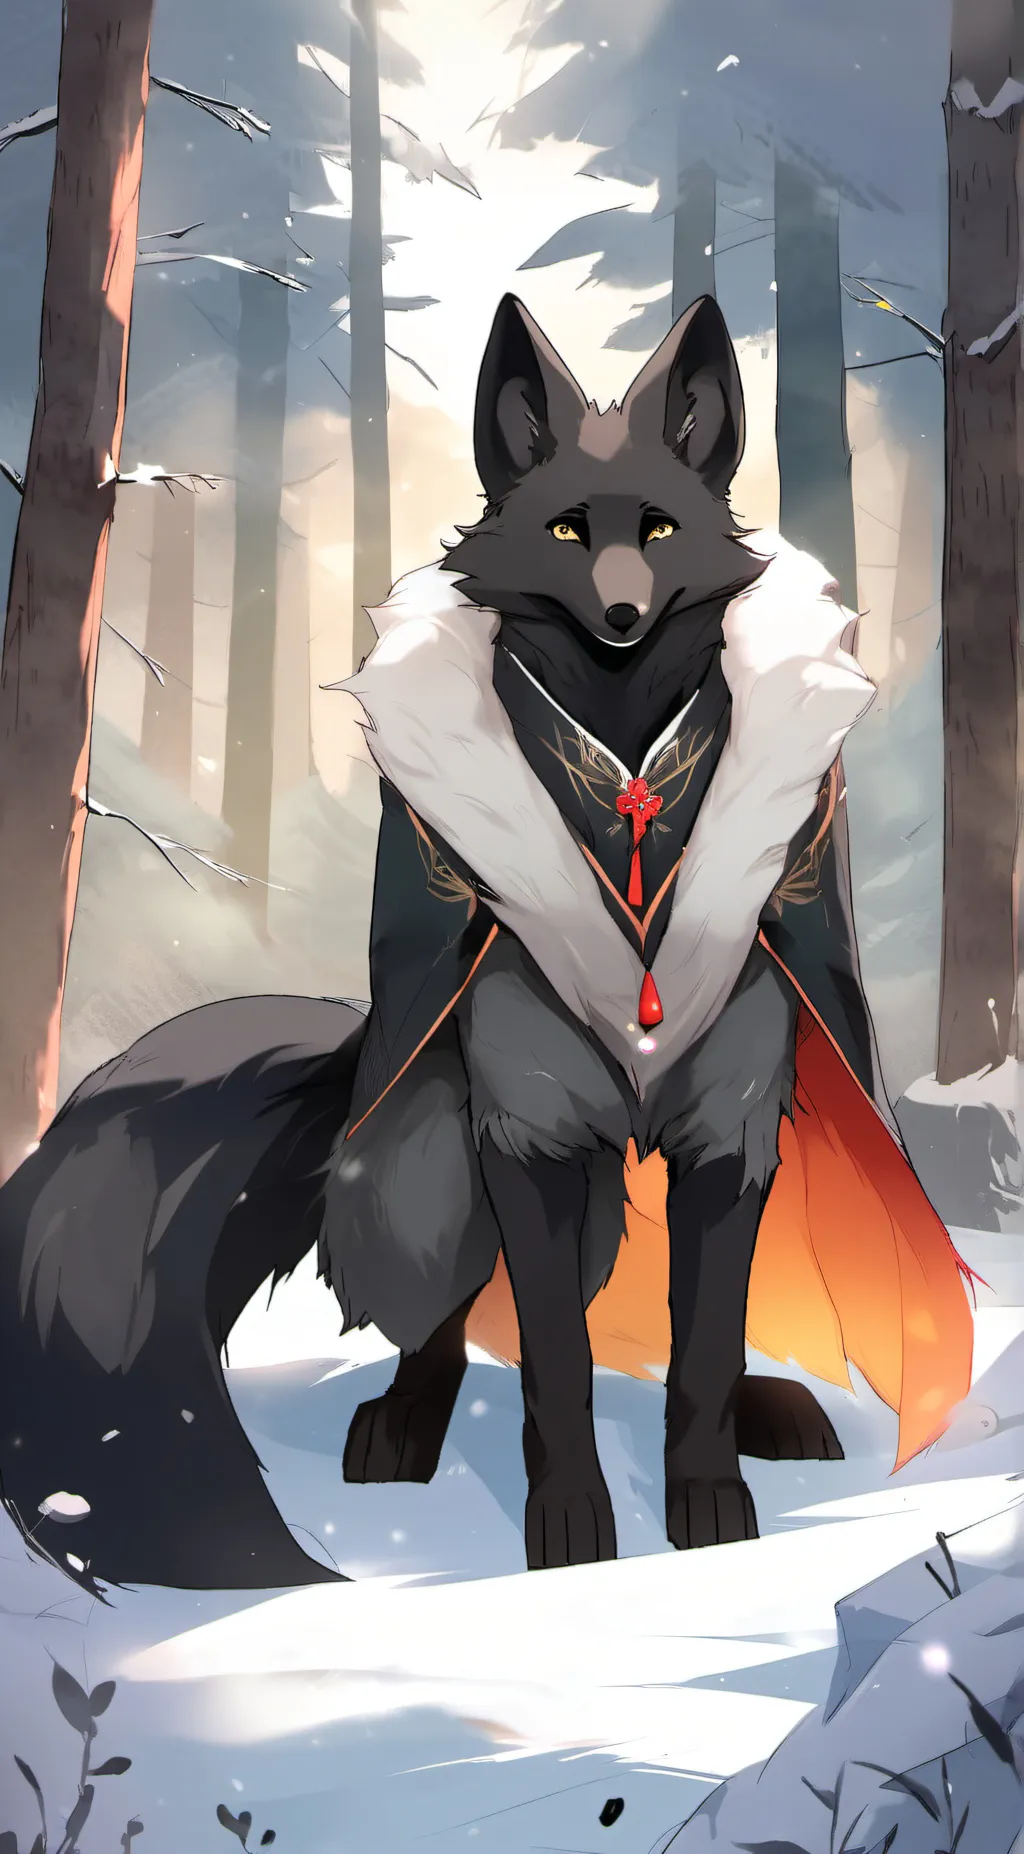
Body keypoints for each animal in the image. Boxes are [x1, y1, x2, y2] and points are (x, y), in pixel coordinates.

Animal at [0, 295, 975, 1593]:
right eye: (565, 529)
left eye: (657, 529)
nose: (621, 612)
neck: (629, 799)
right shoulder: (528, 1144)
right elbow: (555, 1364)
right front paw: (568, 1532)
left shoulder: (729, 1146)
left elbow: (702, 1351)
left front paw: (709, 1503)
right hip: (430, 1171)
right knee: (447, 1323)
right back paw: (404, 1422)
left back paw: (772, 1407)